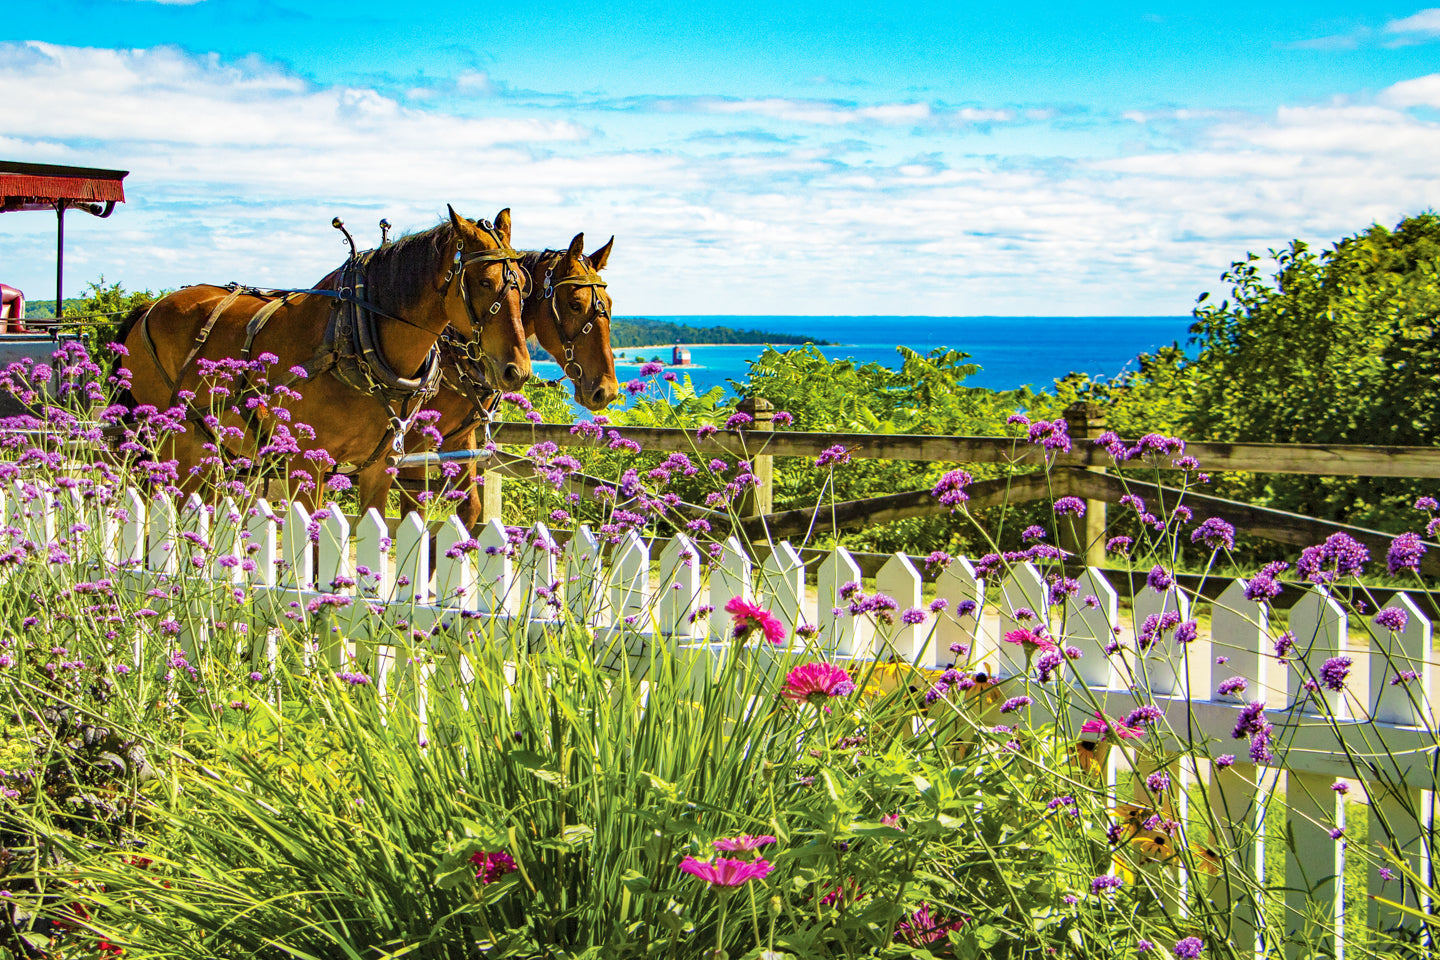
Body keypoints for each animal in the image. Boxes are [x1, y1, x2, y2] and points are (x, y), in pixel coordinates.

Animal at [119, 207, 535, 515]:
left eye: (523, 282)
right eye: (483, 282)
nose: (517, 370)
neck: (353, 337)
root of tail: (150, 307)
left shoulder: (382, 466)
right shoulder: (307, 464)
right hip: (175, 436)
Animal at [365, 233, 619, 529]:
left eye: (610, 304)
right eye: (575, 304)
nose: (607, 390)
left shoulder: (460, 441)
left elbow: (470, 508)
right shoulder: (415, 445)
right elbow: (414, 511)